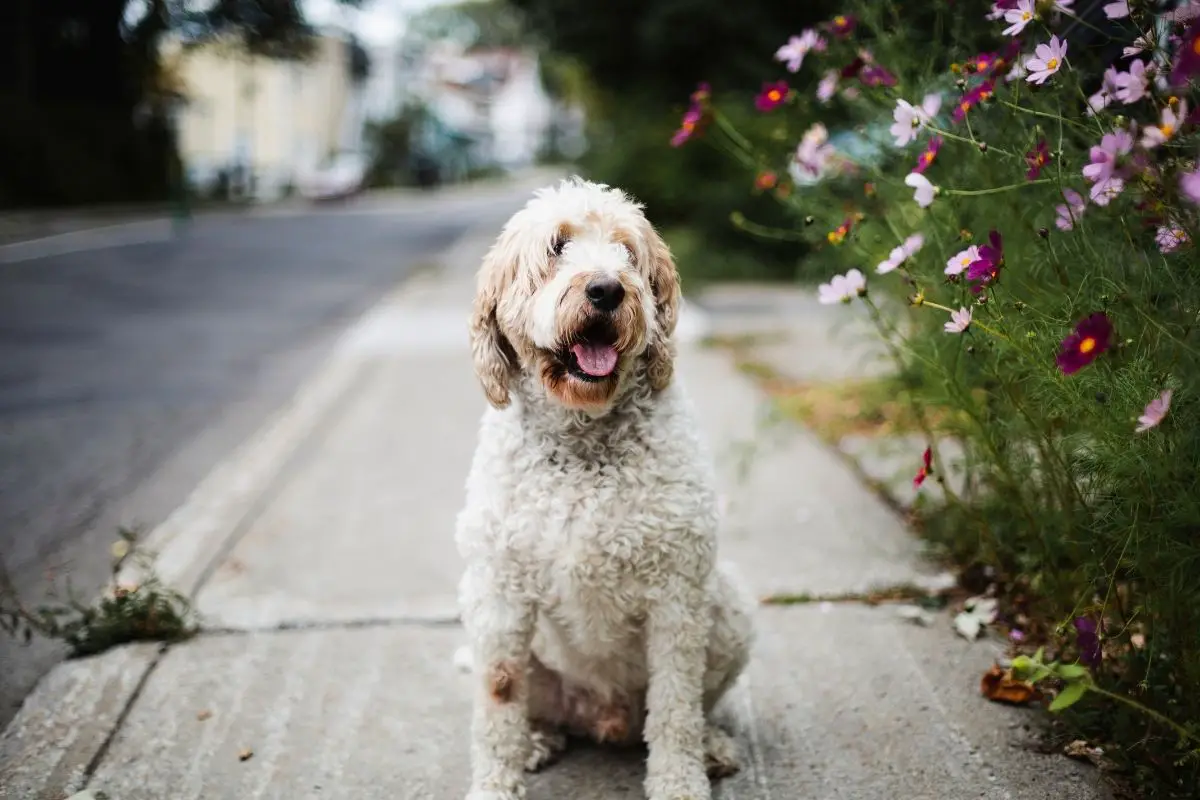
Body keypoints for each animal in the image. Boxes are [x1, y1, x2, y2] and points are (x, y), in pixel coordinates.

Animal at [453, 176, 753, 800]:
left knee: (694, 705)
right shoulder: (498, 593)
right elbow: (498, 698)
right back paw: (536, 741)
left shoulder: (677, 596)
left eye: (627, 251)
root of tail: (604, 717)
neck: (582, 439)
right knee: (534, 708)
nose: (607, 289)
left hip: (730, 608)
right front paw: (496, 781)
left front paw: (679, 781)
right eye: (556, 246)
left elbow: (675, 704)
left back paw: (711, 745)